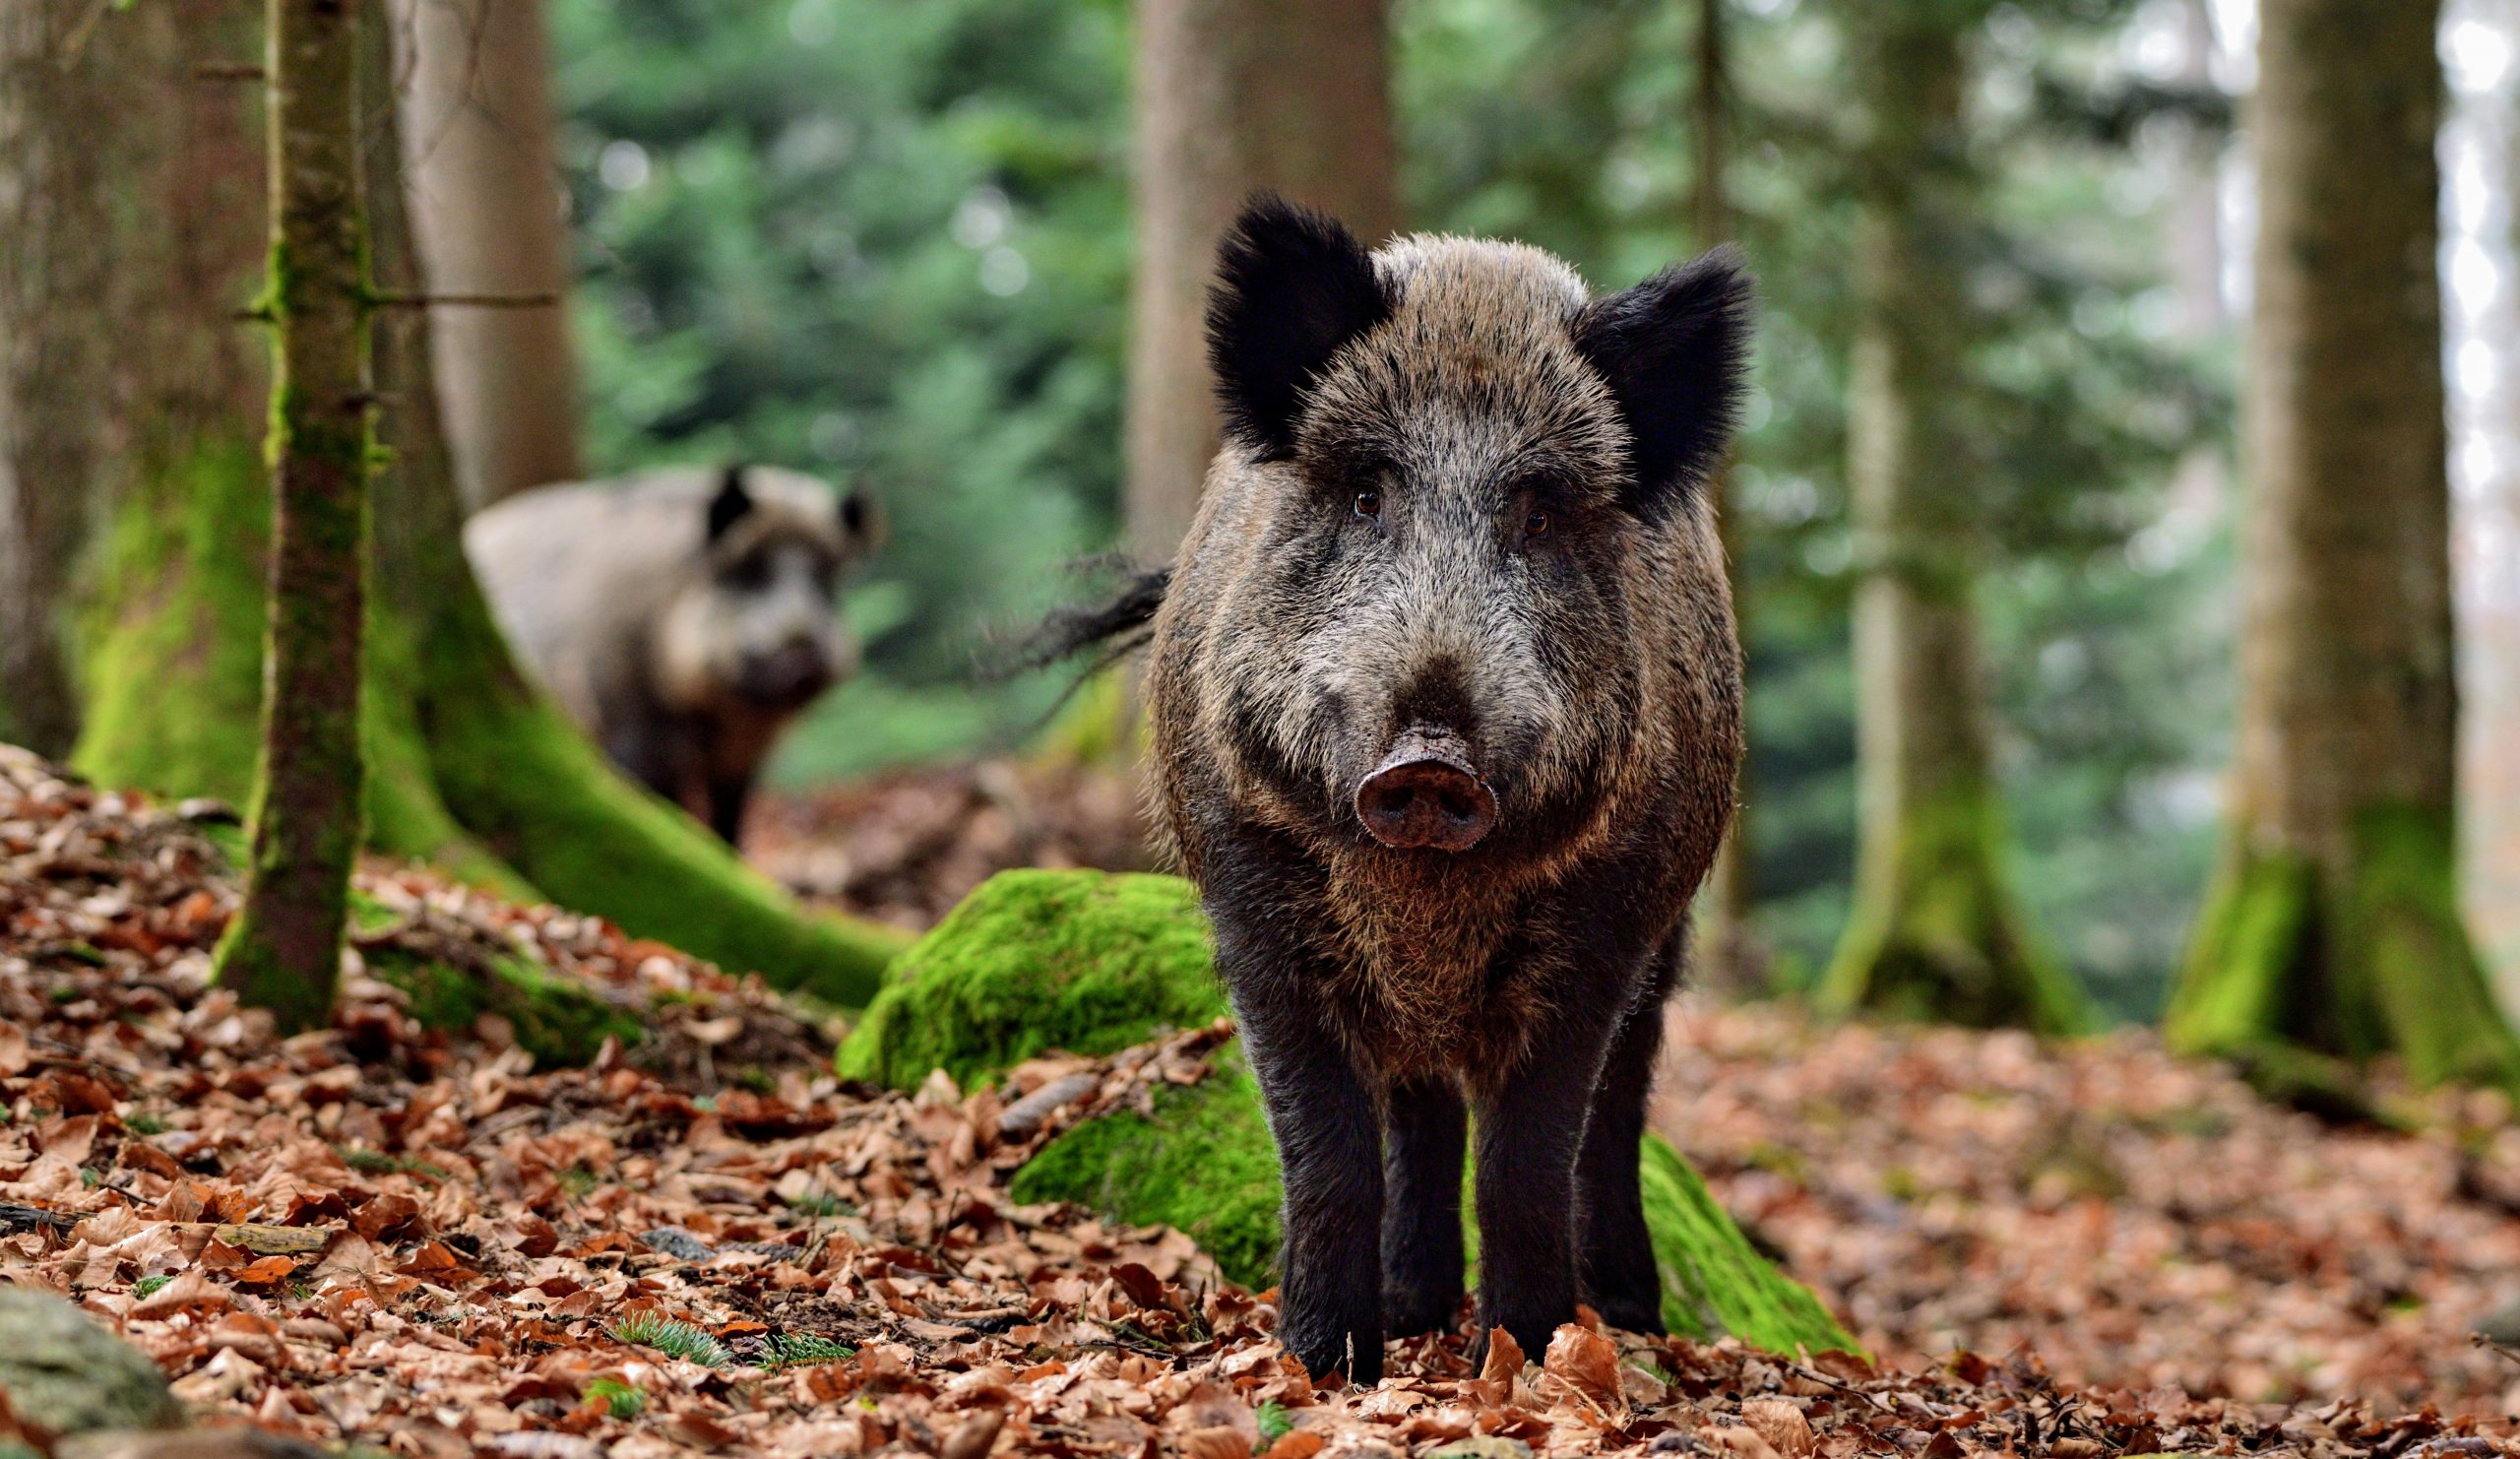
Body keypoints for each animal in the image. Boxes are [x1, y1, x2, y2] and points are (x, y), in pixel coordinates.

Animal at [464, 464, 877, 844]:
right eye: (749, 574)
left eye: (825, 581)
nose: (802, 656)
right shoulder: (632, 737)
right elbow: (668, 809)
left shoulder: (740, 758)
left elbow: (730, 820)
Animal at [1048, 198, 1748, 1383]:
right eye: (1369, 495)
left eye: (1540, 516)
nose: (1429, 761)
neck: (1422, 906)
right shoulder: (1256, 916)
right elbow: (1328, 1156)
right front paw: (1326, 1368)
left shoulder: (1603, 929)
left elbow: (1524, 1167)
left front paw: (1526, 1359)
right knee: (1420, 1105)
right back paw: (1413, 1305)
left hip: (1668, 934)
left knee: (1617, 1106)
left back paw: (1626, 1313)